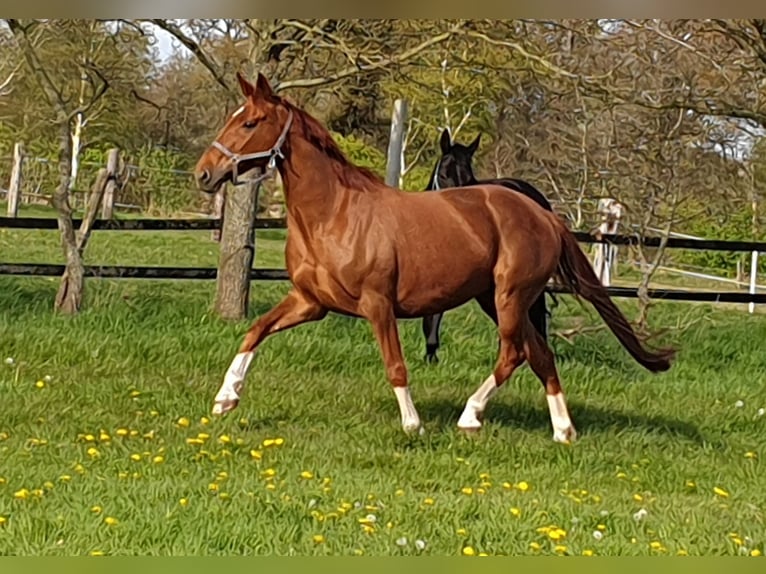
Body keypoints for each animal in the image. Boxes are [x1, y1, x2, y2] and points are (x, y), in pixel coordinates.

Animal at [195, 71, 676, 440]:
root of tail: (542, 214)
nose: (204, 173)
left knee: (513, 354)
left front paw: (413, 425)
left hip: (509, 297)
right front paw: (225, 398)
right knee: (539, 355)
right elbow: (255, 331)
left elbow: (395, 365)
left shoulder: (377, 305)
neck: (335, 214)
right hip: (500, 300)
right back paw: (563, 431)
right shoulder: (310, 302)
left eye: (251, 122)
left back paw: (471, 416)